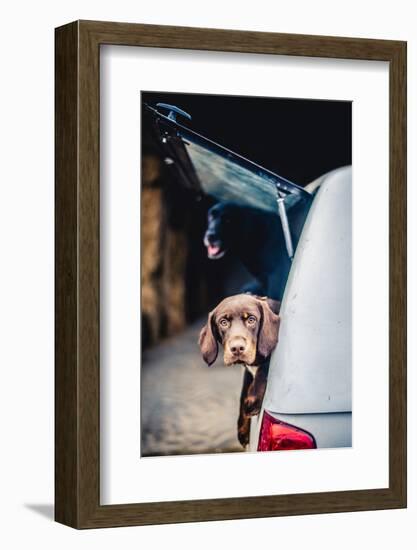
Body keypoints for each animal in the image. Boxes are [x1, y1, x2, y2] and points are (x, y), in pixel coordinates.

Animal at [198, 296, 280, 450]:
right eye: (223, 322)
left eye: (251, 320)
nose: (237, 348)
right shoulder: (247, 371)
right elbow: (243, 393)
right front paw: (242, 429)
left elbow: (264, 368)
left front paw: (253, 400)